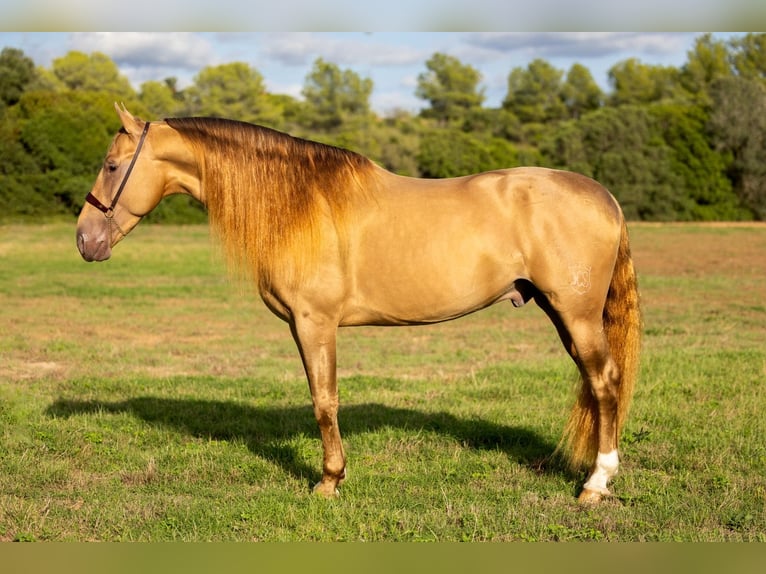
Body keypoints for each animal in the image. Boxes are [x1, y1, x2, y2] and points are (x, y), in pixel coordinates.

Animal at [76, 103, 640, 504]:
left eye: (111, 165)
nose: (85, 240)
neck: (300, 202)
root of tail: (605, 197)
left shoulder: (314, 323)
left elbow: (324, 401)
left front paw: (329, 480)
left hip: (577, 315)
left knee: (605, 382)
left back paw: (596, 483)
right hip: (562, 314)